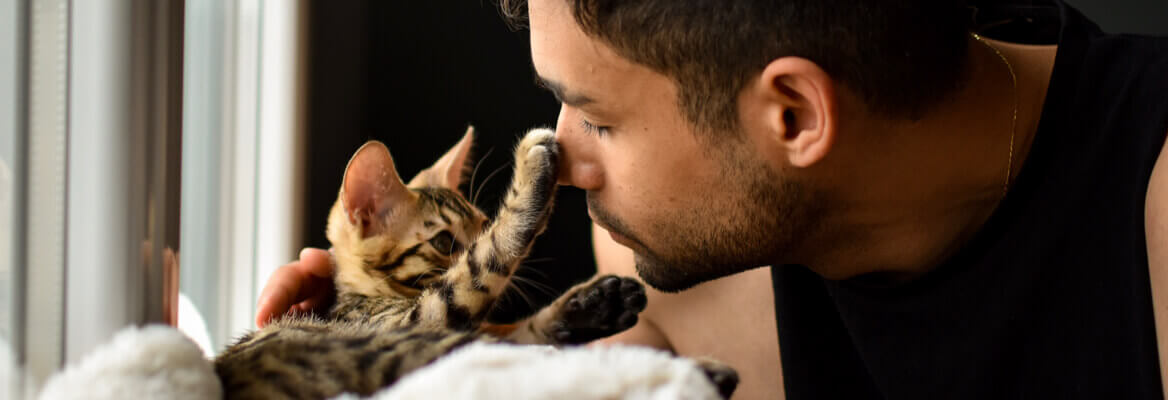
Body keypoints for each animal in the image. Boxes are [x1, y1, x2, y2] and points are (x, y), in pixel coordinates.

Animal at [212, 128, 668, 399]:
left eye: (481, 224)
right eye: (444, 241)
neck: (363, 294)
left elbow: (524, 328)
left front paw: (595, 304)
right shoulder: (421, 318)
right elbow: (482, 267)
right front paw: (532, 173)